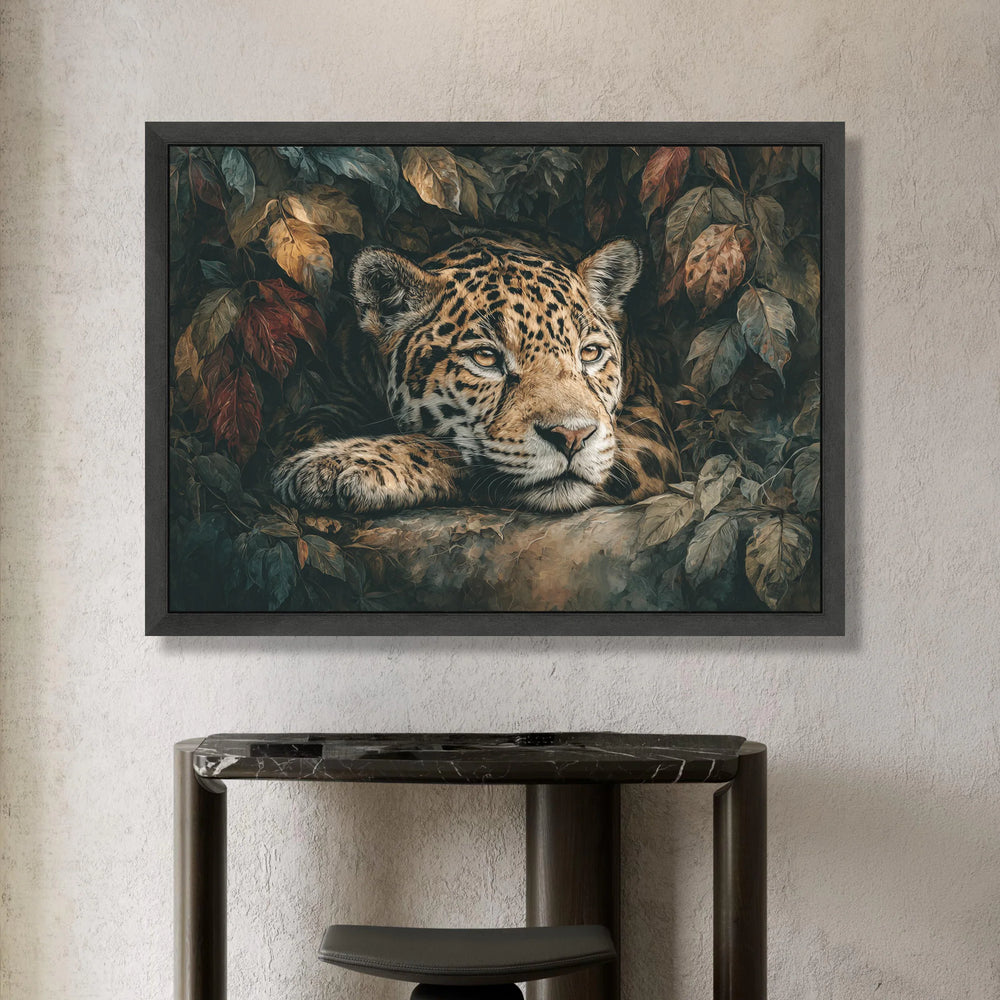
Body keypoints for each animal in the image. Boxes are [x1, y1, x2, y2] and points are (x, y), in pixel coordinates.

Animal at [271, 235, 680, 515]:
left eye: (590, 353)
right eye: (486, 357)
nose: (572, 436)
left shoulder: (648, 432)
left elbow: (452, 451)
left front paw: (341, 464)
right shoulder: (336, 394)